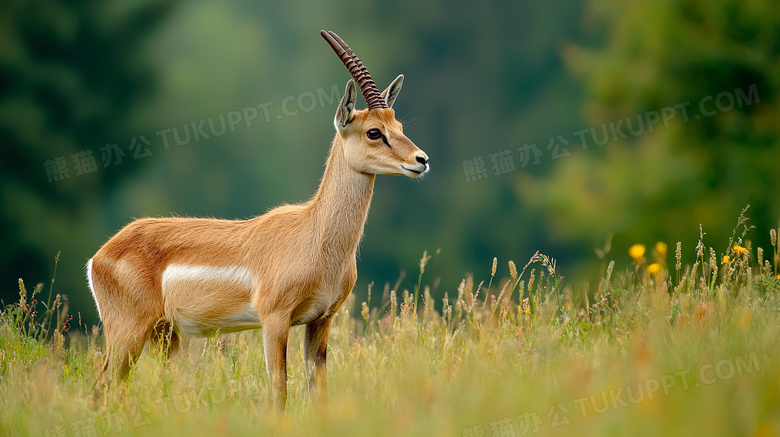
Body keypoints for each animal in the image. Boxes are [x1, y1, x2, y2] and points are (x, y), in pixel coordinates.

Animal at [88, 29, 430, 408]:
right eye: (373, 131)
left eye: (398, 124)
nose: (421, 159)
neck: (316, 235)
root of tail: (101, 254)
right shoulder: (274, 319)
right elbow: (280, 390)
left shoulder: (321, 321)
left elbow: (318, 391)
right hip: (129, 334)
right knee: (101, 387)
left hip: (167, 335)